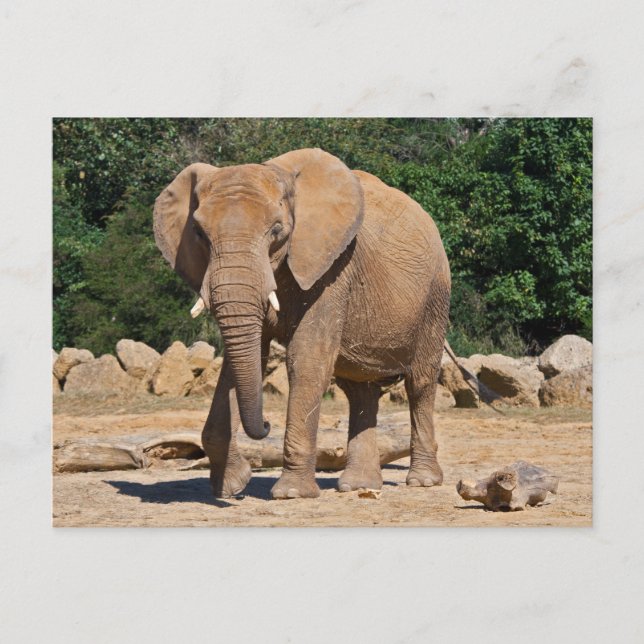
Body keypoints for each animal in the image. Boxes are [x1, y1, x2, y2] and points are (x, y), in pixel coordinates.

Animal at [153, 148, 451, 499]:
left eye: (277, 230)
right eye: (199, 234)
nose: (266, 424)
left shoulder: (333, 269)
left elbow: (305, 360)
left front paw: (291, 493)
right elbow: (240, 362)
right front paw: (231, 486)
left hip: (435, 296)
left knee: (420, 381)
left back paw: (423, 481)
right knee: (360, 391)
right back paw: (358, 486)